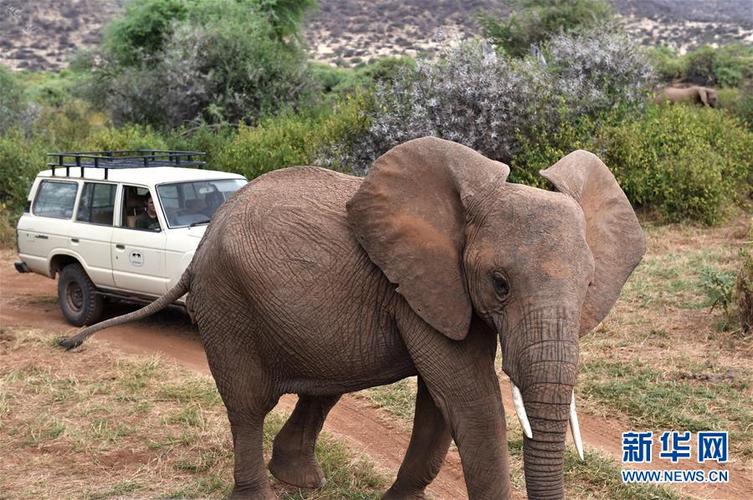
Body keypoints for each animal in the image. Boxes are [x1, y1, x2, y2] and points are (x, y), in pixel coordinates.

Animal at [61, 137, 646, 499]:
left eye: (589, 285)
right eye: (500, 284)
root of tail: (202, 244)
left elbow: (441, 402)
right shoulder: (419, 286)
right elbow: (469, 398)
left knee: (323, 387)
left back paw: (301, 480)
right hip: (227, 303)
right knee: (247, 405)